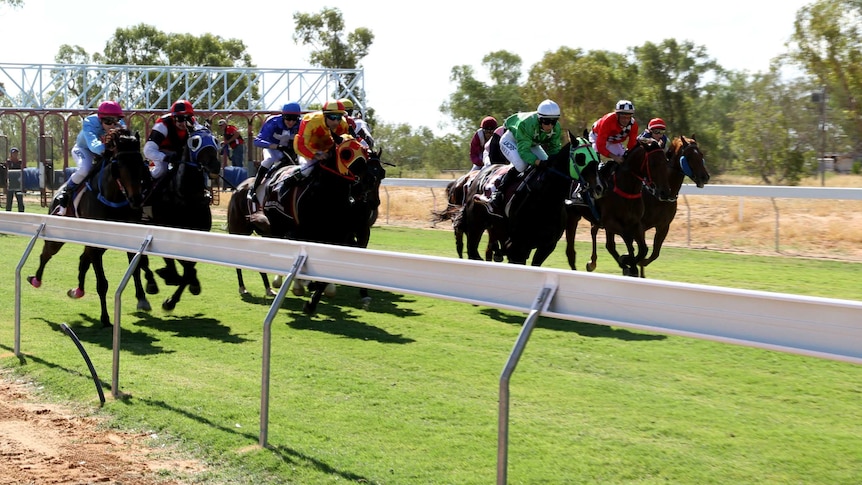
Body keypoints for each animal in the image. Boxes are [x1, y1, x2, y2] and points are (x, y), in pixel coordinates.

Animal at [27, 127, 150, 326]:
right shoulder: (95, 242)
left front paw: (142, 299)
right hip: (58, 237)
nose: (136, 199)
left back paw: (77, 290)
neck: (112, 197)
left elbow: (136, 268)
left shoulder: (128, 236)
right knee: (46, 254)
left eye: (142, 163)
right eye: (120, 165)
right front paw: (105, 318)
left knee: (83, 260)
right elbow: (102, 283)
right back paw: (36, 279)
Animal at [137, 129, 221, 310]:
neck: (185, 197)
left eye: (216, 140)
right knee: (143, 263)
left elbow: (189, 270)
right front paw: (170, 285)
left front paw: (175, 297)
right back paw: (152, 284)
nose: (215, 166)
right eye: (195, 142)